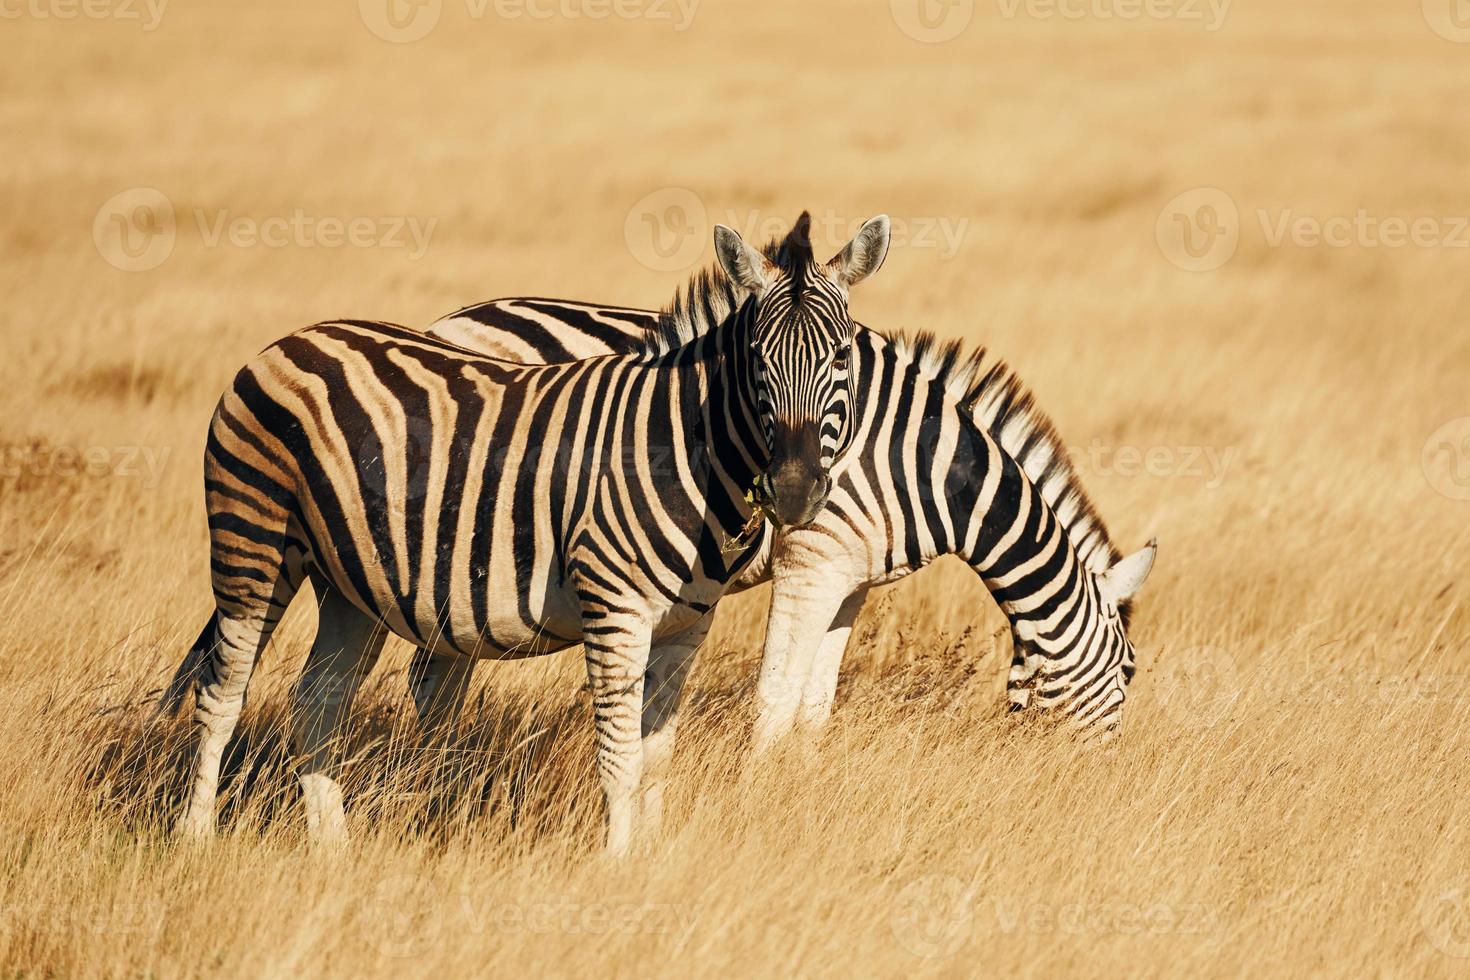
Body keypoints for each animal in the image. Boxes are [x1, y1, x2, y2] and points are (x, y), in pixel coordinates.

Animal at [166, 213, 887, 852]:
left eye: (842, 356)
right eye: (758, 359)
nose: (793, 491)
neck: (684, 446)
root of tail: (293, 339)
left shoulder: (686, 626)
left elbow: (656, 756)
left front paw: (652, 864)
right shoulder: (614, 607)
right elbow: (620, 759)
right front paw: (617, 870)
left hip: (349, 580)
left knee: (319, 701)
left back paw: (333, 852)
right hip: (253, 539)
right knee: (222, 691)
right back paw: (196, 841)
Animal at [408, 264, 1152, 758]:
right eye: (1130, 671)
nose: (1102, 782)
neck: (923, 462)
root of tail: (445, 323)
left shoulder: (850, 580)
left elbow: (814, 703)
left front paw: (804, 782)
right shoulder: (810, 560)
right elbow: (774, 697)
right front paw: (758, 791)